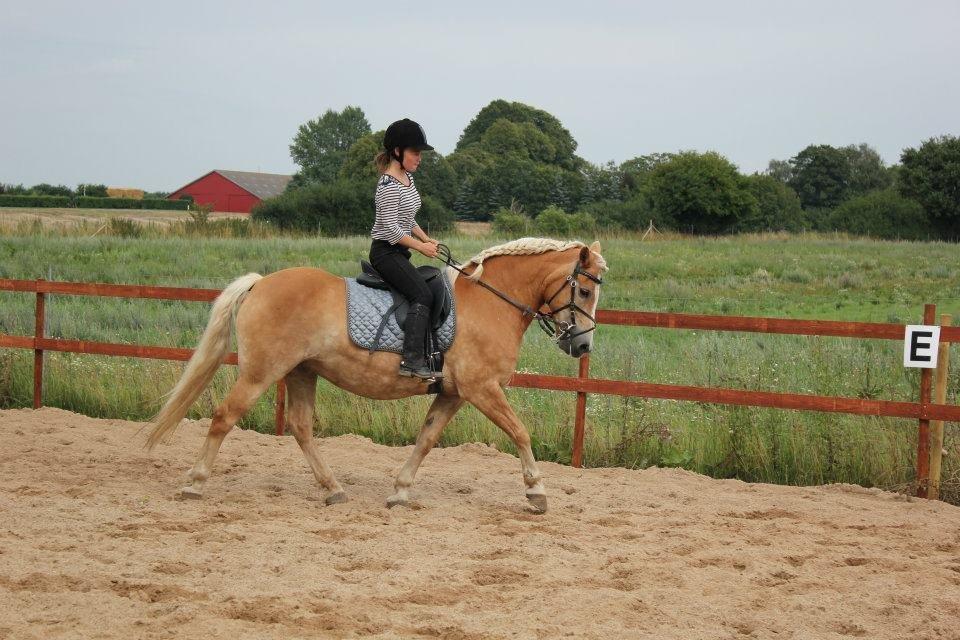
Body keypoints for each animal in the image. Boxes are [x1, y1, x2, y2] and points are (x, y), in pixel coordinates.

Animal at [142, 238, 608, 512]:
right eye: (585, 290)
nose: (583, 346)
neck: (491, 302)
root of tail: (261, 283)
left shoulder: (453, 393)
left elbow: (427, 439)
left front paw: (400, 491)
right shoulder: (482, 388)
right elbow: (520, 432)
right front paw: (536, 492)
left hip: (300, 372)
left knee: (300, 427)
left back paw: (332, 488)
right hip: (261, 372)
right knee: (224, 418)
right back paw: (194, 484)